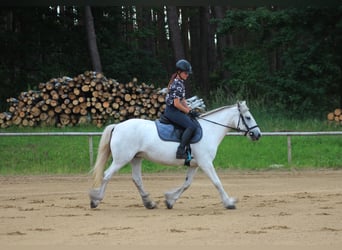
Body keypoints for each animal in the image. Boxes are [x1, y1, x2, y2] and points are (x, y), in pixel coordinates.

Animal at [89, 101, 260, 209]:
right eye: (248, 117)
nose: (257, 134)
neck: (209, 130)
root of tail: (117, 126)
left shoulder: (195, 165)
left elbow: (187, 184)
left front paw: (170, 200)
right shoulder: (205, 163)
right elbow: (217, 182)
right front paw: (229, 203)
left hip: (136, 158)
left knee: (137, 179)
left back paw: (149, 203)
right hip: (121, 159)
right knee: (107, 175)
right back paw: (95, 200)